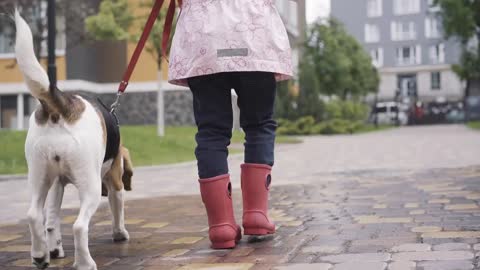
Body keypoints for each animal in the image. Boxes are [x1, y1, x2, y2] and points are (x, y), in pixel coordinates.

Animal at [14, 9, 133, 268]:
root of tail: (62, 106)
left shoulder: (56, 184)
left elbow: (51, 221)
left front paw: (54, 248)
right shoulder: (114, 180)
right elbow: (118, 207)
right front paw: (120, 233)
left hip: (39, 176)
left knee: (34, 215)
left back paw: (40, 255)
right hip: (89, 186)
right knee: (79, 226)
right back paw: (84, 263)